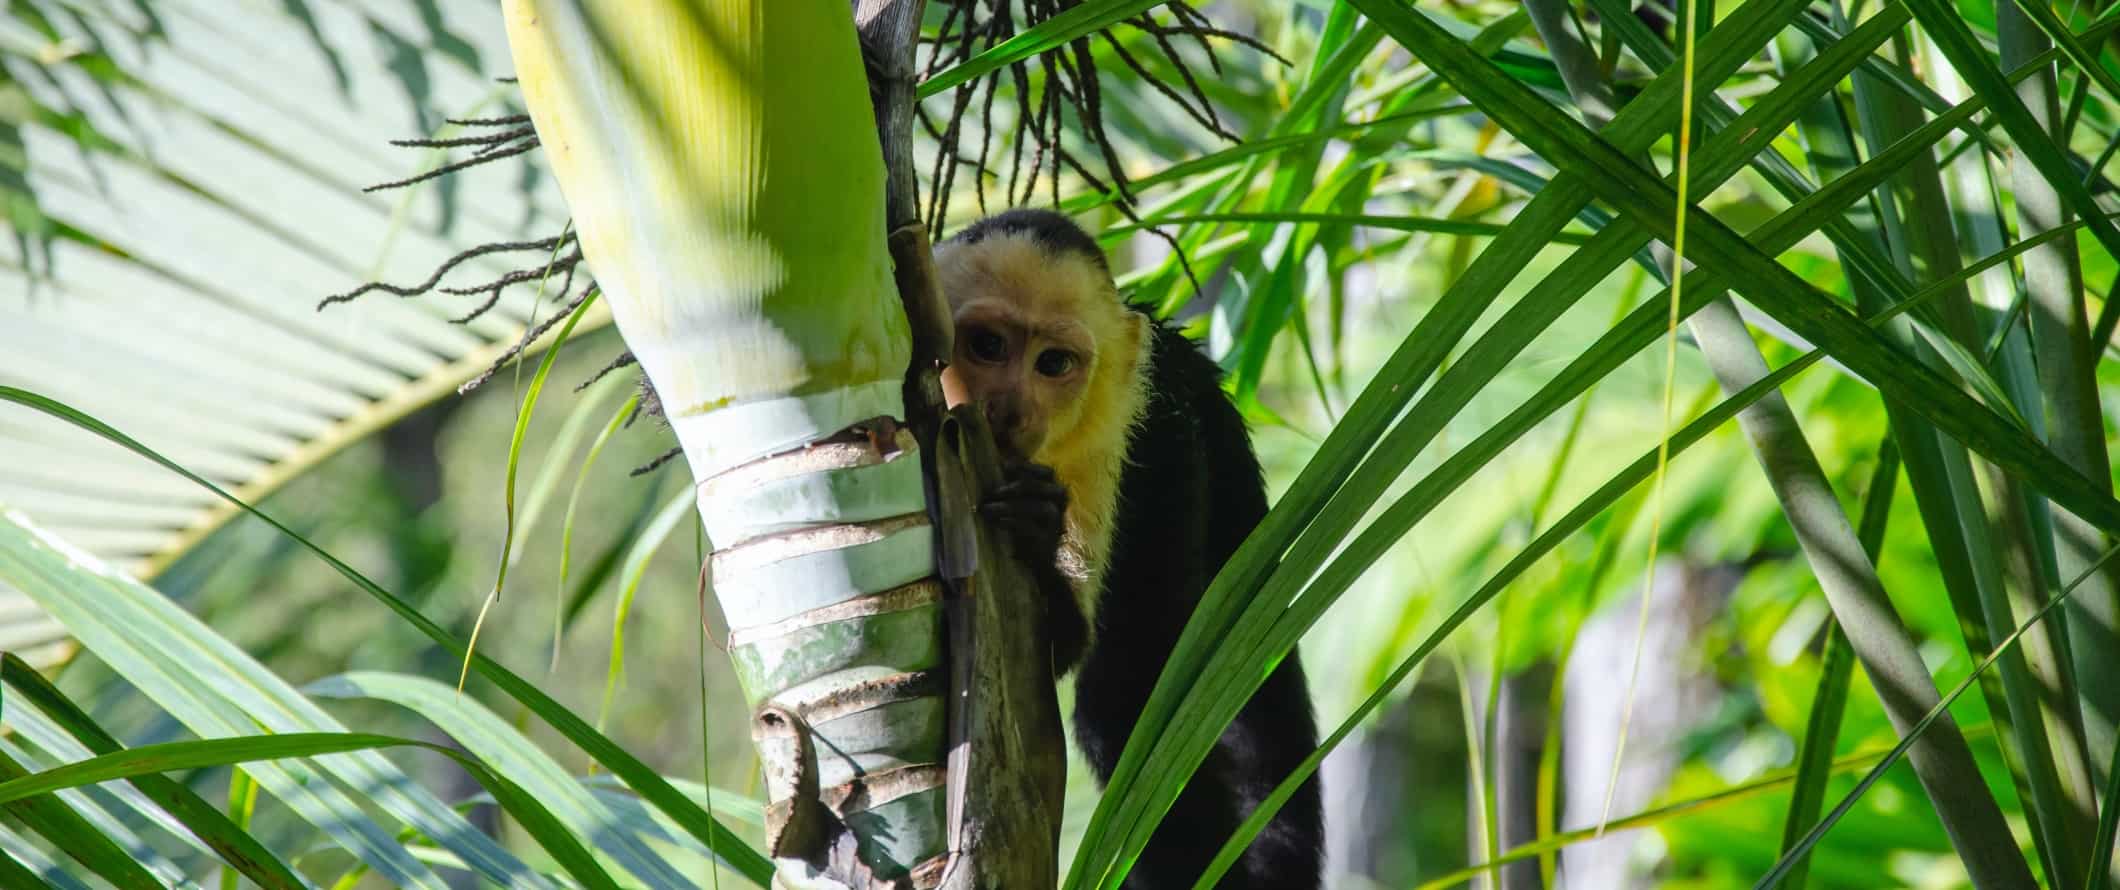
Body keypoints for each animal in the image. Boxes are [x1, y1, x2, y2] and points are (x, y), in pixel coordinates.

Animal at [937, 206, 1314, 890]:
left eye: (1053, 363)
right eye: (987, 346)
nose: (1012, 409)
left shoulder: (1148, 421)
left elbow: (1088, 655)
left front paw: (1038, 531)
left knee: (1129, 688)